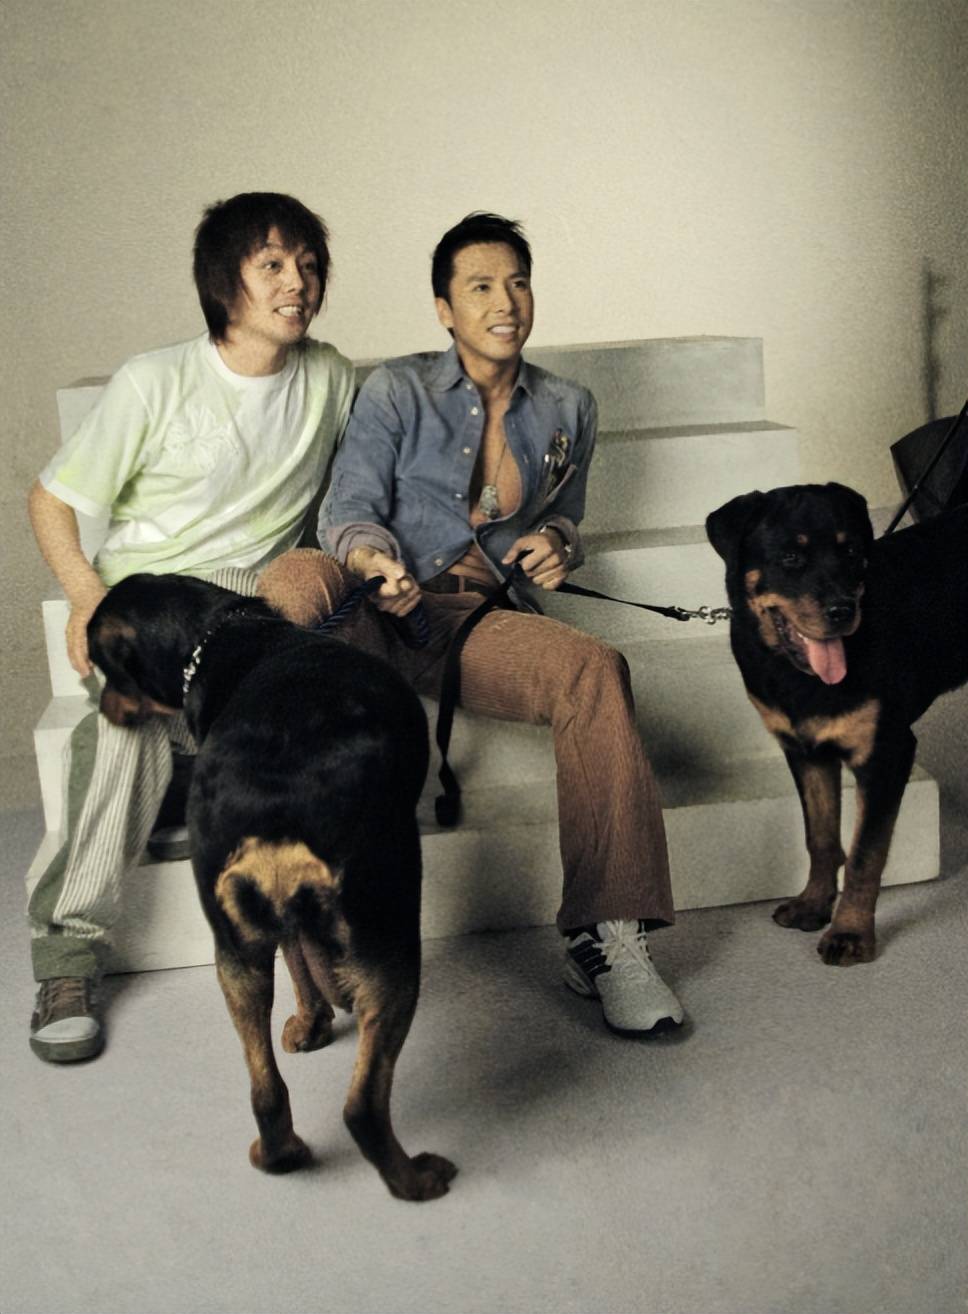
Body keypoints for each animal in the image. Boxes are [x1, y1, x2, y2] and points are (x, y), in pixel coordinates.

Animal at [88, 572, 457, 1201]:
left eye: (104, 669)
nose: (104, 710)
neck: (219, 633)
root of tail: (275, 811)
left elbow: (299, 961)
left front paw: (312, 1021)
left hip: (232, 952)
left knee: (265, 1088)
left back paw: (279, 1152)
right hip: (391, 932)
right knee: (362, 1107)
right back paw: (416, 1180)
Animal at [706, 483, 968, 965]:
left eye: (851, 554)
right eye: (791, 557)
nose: (842, 610)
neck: (798, 676)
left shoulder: (886, 753)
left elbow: (866, 854)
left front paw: (850, 934)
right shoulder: (806, 752)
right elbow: (822, 837)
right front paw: (813, 905)